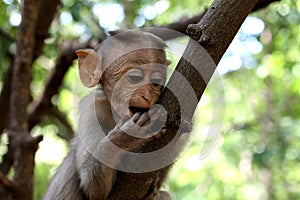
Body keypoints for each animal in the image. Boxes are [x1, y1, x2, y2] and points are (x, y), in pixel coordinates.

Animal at [43, 28, 172, 200]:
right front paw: (127, 135)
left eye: (156, 82)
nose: (147, 96)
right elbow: (94, 189)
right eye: (135, 78)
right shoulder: (91, 109)